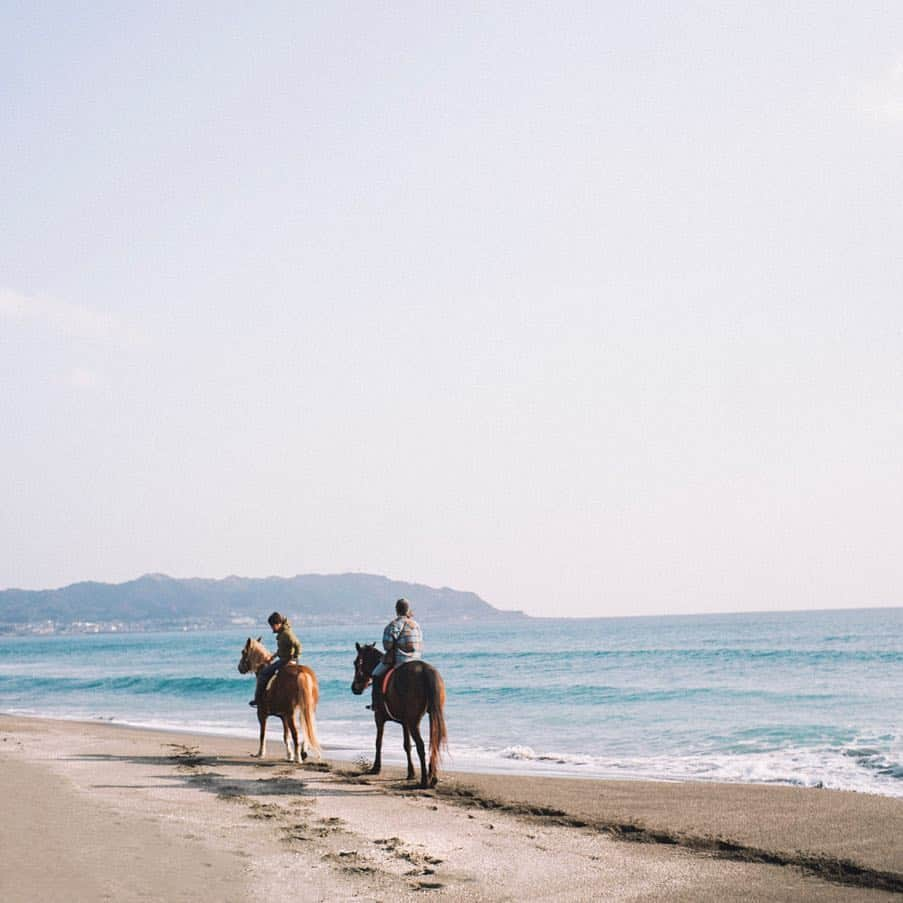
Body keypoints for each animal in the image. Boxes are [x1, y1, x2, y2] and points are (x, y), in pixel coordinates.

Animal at [238, 640, 324, 768]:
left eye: (243, 652)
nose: (239, 667)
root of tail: (302, 673)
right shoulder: (284, 717)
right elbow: (285, 736)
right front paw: (289, 755)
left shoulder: (262, 714)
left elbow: (262, 734)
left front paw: (260, 753)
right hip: (308, 710)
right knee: (307, 729)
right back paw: (302, 752)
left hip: (291, 714)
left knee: (296, 734)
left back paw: (298, 758)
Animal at [352, 644, 446, 792]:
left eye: (356, 663)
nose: (354, 688)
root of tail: (425, 670)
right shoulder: (405, 723)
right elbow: (407, 745)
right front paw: (410, 772)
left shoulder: (379, 718)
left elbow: (378, 742)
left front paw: (376, 767)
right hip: (431, 718)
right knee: (434, 743)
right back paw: (433, 777)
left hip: (414, 722)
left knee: (421, 746)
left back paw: (424, 780)